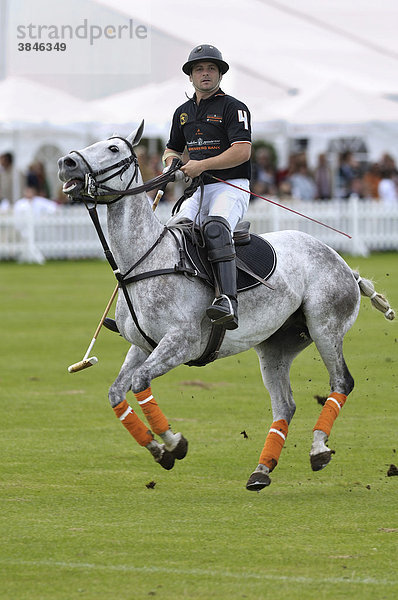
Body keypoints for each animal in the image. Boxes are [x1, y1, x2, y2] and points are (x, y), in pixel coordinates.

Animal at [56, 123, 394, 492]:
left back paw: (318, 449)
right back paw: (261, 471)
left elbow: (140, 381)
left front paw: (175, 443)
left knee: (341, 382)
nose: (66, 163)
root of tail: (345, 264)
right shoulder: (141, 345)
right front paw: (159, 451)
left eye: (114, 149)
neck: (145, 260)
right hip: (276, 347)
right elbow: (117, 393)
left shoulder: (182, 343)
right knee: (285, 405)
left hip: (325, 327)